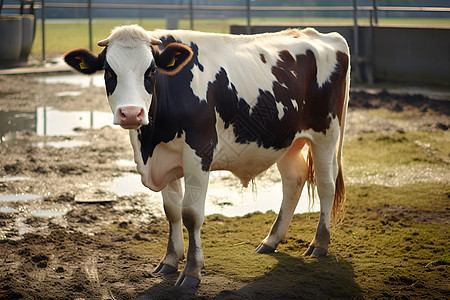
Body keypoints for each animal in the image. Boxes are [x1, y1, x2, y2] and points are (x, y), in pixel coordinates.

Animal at [64, 24, 352, 288]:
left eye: (151, 71)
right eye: (109, 71)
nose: (131, 113)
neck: (151, 142)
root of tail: (322, 34)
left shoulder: (199, 152)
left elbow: (191, 213)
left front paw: (192, 271)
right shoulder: (166, 158)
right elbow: (172, 211)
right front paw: (170, 260)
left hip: (326, 133)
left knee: (326, 185)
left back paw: (319, 244)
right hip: (285, 139)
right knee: (294, 181)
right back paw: (271, 240)